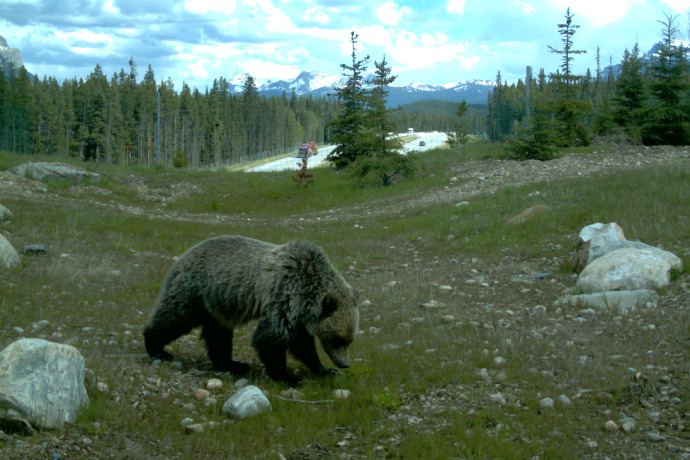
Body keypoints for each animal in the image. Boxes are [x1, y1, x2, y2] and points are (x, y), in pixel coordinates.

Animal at [142, 235, 358, 382]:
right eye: (338, 340)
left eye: (350, 340)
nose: (345, 364)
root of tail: (183, 256)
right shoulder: (284, 295)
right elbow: (270, 338)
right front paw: (287, 377)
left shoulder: (297, 313)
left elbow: (302, 344)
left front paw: (325, 370)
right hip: (194, 292)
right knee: (174, 318)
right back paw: (157, 348)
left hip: (217, 306)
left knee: (218, 335)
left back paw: (233, 364)